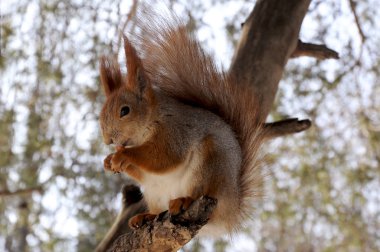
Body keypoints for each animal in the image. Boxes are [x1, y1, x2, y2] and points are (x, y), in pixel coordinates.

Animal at [98, 14, 264, 235]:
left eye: (125, 111)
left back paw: (184, 200)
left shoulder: (175, 130)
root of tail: (231, 210)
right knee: (157, 208)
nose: (108, 139)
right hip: (154, 192)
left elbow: (164, 157)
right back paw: (145, 216)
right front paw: (109, 161)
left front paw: (123, 155)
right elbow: (143, 172)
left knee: (200, 194)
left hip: (210, 163)